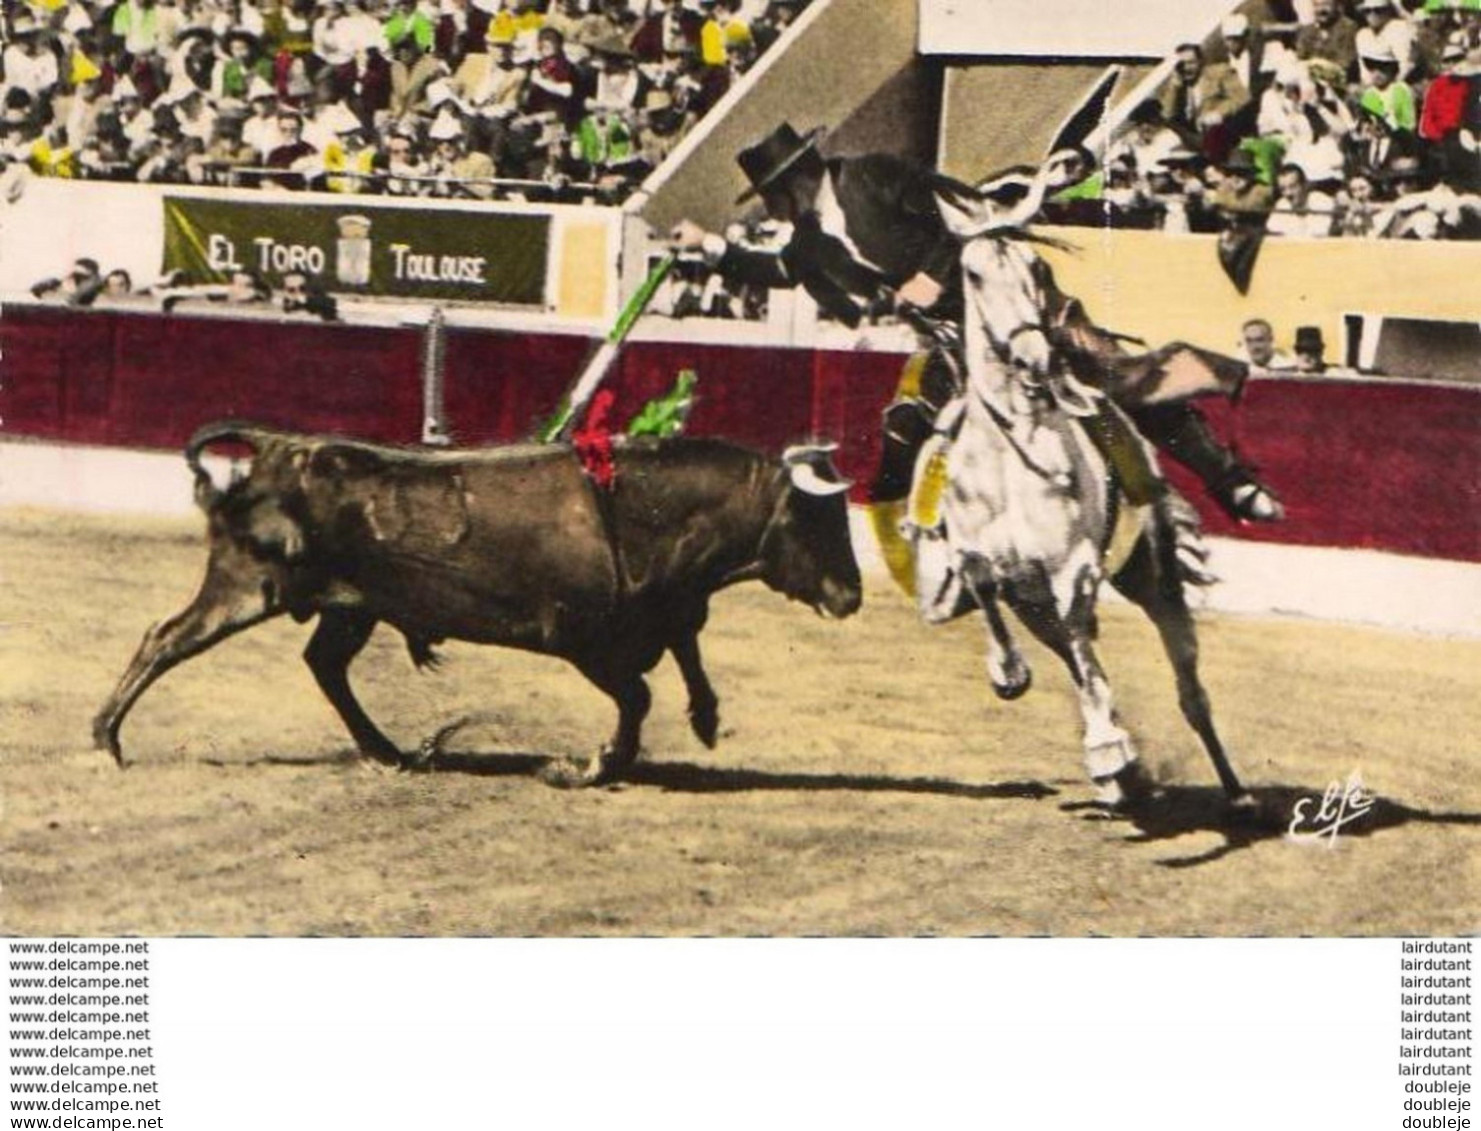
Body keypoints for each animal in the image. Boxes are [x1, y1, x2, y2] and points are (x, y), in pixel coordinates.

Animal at [92, 423, 864, 787]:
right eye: (816, 519)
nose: (850, 595)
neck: (639, 509)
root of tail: (278, 448)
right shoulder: (585, 643)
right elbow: (638, 699)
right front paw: (585, 767)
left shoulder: (665, 616)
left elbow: (686, 656)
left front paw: (703, 720)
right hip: (247, 585)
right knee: (164, 639)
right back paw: (106, 740)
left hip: (350, 606)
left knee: (325, 665)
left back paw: (390, 751)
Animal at [924, 172, 1249, 811]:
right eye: (973, 273)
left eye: (1036, 268)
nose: (1033, 357)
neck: (1012, 449)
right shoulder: (989, 561)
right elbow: (982, 581)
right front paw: (1009, 675)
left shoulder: (1072, 566)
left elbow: (1080, 633)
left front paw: (1107, 748)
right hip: (1033, 603)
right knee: (1075, 657)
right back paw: (1121, 771)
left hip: (1151, 576)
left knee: (1186, 686)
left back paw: (1228, 788)